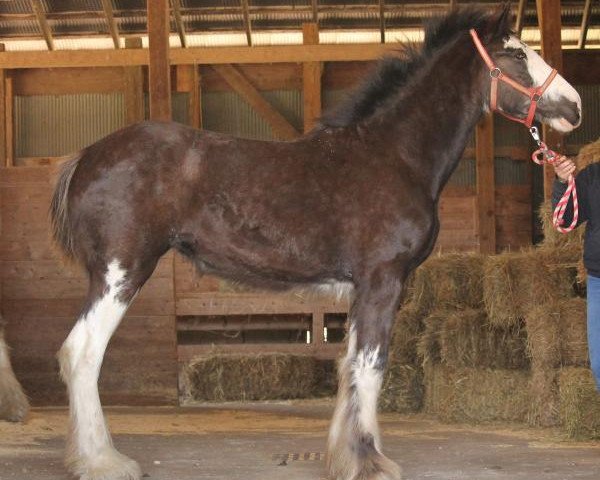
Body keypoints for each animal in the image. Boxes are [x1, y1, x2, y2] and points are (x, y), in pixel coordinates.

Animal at [47, 4, 580, 480]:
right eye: (515, 53)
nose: (575, 107)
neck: (394, 155)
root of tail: (86, 157)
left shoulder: (361, 290)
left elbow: (350, 369)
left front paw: (349, 457)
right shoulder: (383, 281)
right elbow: (371, 367)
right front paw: (369, 464)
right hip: (122, 271)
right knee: (82, 354)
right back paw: (103, 462)